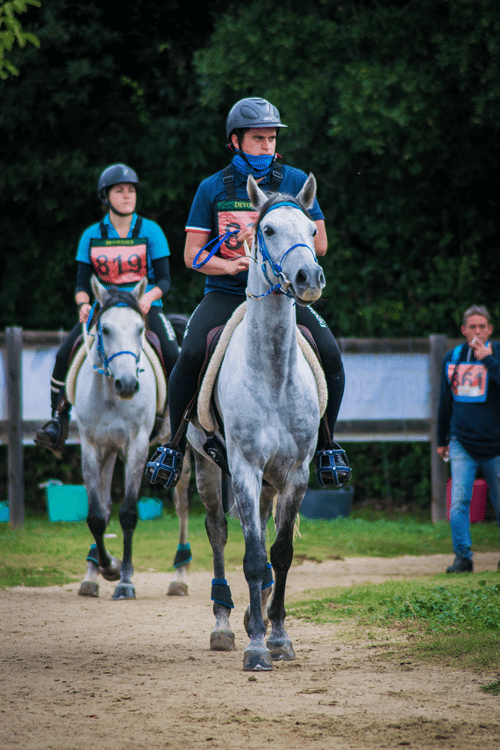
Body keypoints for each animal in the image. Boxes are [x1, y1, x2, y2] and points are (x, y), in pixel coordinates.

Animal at [75, 276, 189, 600]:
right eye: (105, 329)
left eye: (140, 329)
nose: (127, 384)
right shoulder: (92, 448)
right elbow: (97, 515)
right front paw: (106, 568)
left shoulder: (136, 448)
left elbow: (127, 514)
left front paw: (124, 580)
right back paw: (93, 572)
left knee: (184, 505)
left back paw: (180, 576)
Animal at [187, 178, 324, 676]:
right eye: (266, 229)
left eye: (311, 228)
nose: (308, 279)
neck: (272, 373)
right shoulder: (244, 468)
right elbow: (250, 555)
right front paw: (256, 648)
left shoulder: (296, 473)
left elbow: (278, 555)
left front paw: (279, 637)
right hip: (207, 468)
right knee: (218, 531)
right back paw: (225, 624)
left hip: (270, 480)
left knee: (263, 531)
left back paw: (253, 615)